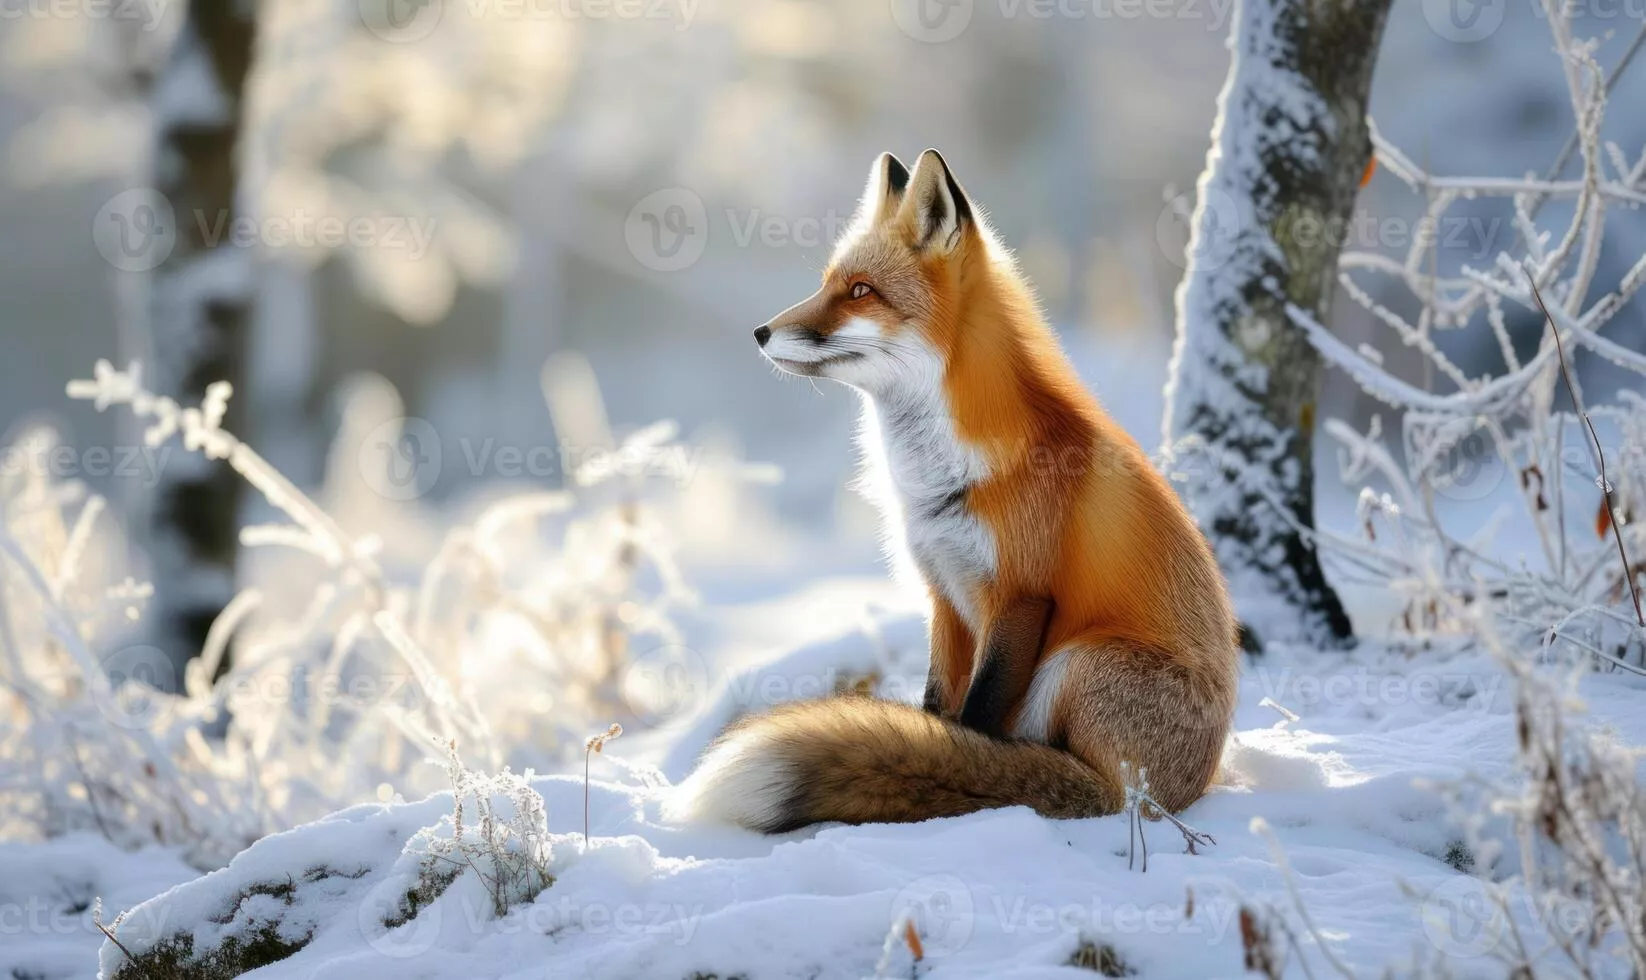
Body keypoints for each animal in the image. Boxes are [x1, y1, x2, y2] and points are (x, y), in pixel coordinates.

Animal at [667, 149, 1239, 834]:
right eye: (830, 283)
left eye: (860, 291)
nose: (759, 332)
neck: (940, 478)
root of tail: (1174, 794)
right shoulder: (943, 589)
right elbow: (939, 707)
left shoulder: (1020, 594)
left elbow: (975, 720)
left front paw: (961, 774)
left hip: (1082, 660)